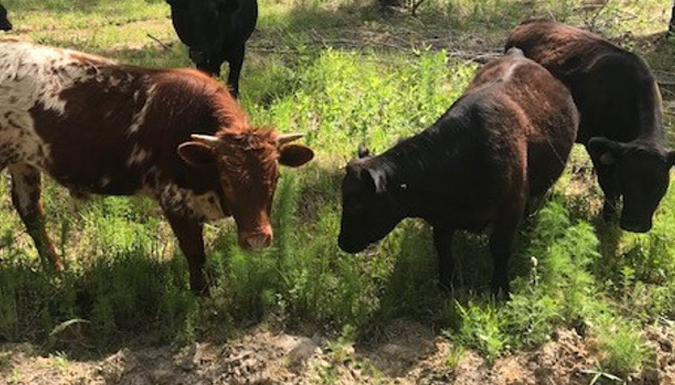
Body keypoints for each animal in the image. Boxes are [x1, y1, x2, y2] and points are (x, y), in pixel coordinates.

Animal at [0, 40, 314, 294]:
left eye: (276, 177)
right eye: (226, 180)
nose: (258, 239)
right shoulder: (174, 200)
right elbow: (194, 252)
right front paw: (201, 295)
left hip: (23, 161)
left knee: (31, 211)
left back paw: (57, 271)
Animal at [338, 48, 580, 294]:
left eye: (356, 203)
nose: (342, 242)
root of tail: (517, 54)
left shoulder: (511, 207)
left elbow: (500, 249)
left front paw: (500, 289)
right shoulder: (442, 219)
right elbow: (444, 251)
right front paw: (446, 285)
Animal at [508, 19, 675, 232]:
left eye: (660, 186)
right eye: (627, 181)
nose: (634, 225)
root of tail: (530, 22)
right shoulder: (596, 145)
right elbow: (609, 185)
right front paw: (608, 217)